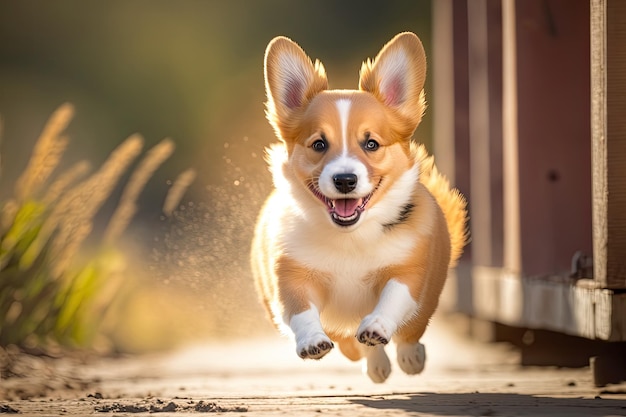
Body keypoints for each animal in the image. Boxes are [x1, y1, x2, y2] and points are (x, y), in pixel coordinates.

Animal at [251, 32, 466, 382]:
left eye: (371, 144)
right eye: (319, 144)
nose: (345, 180)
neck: (349, 236)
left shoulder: (408, 271)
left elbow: (393, 298)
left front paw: (377, 327)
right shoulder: (292, 273)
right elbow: (300, 309)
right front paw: (312, 340)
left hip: (430, 293)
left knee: (411, 331)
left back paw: (409, 358)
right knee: (352, 344)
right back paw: (375, 364)